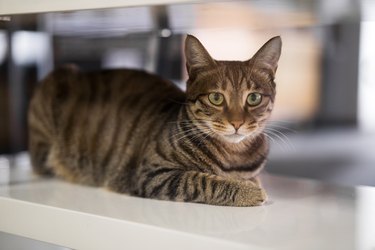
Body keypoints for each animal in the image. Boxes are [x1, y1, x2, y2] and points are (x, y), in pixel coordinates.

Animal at [28, 35, 282, 207]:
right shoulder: (152, 174)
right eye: (216, 98)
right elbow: (202, 181)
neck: (233, 157)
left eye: (254, 98)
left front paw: (252, 183)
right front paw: (248, 191)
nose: (237, 123)